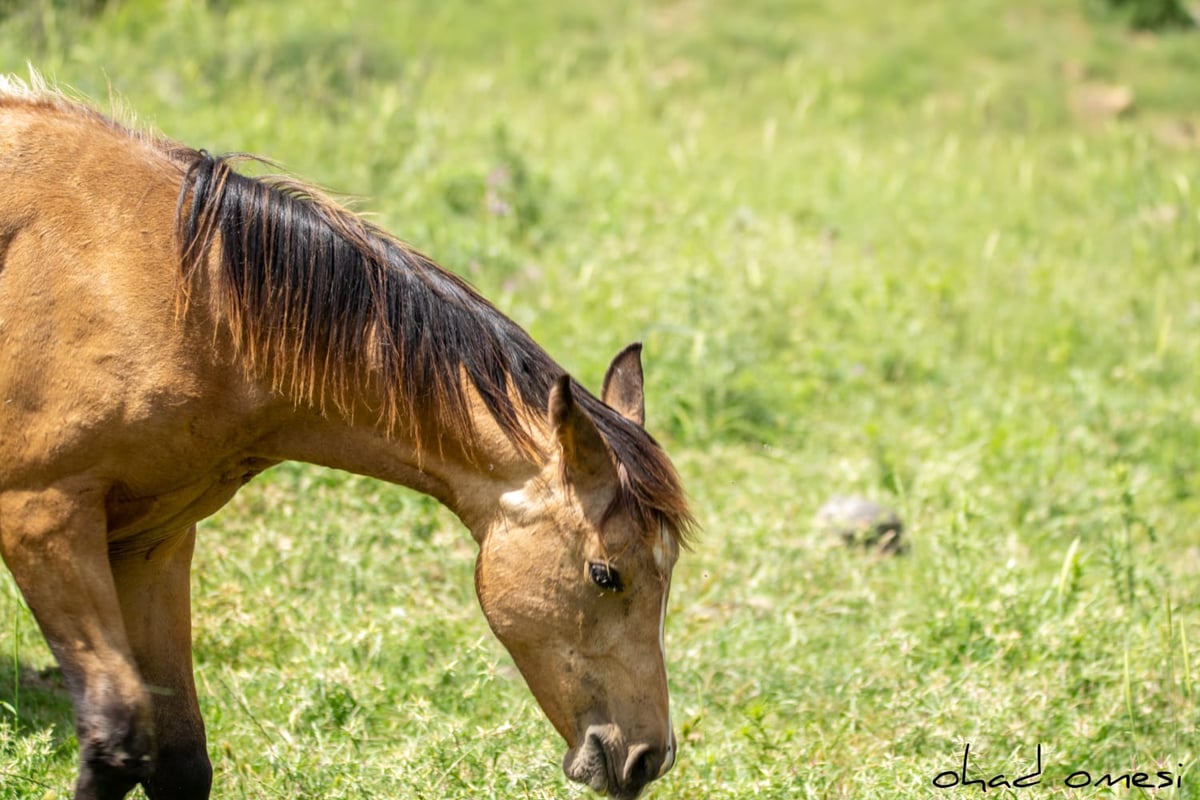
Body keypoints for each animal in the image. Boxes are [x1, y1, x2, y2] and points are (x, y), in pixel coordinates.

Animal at [0, 73, 696, 800]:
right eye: (605, 574)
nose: (647, 756)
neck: (178, 291)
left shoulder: (149, 542)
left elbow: (178, 757)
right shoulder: (42, 522)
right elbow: (115, 740)